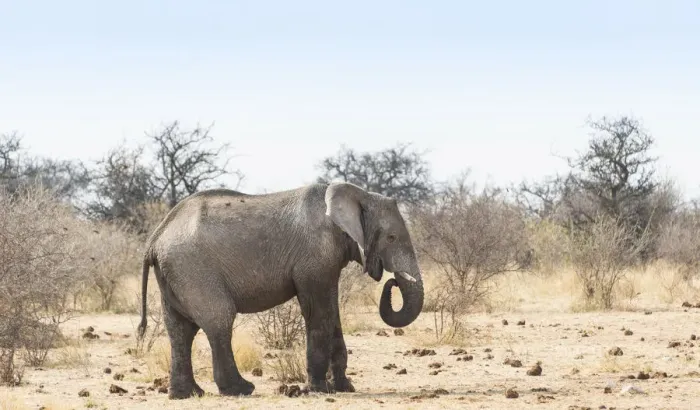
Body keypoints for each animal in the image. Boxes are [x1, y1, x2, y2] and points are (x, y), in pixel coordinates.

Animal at [136, 181, 424, 399]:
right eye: (391, 238)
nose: (393, 281)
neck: (359, 195)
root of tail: (155, 239)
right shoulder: (313, 259)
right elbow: (318, 312)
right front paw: (317, 390)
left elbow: (332, 313)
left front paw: (344, 388)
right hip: (193, 269)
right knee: (219, 320)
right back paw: (241, 390)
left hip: (175, 272)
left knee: (180, 330)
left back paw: (187, 394)